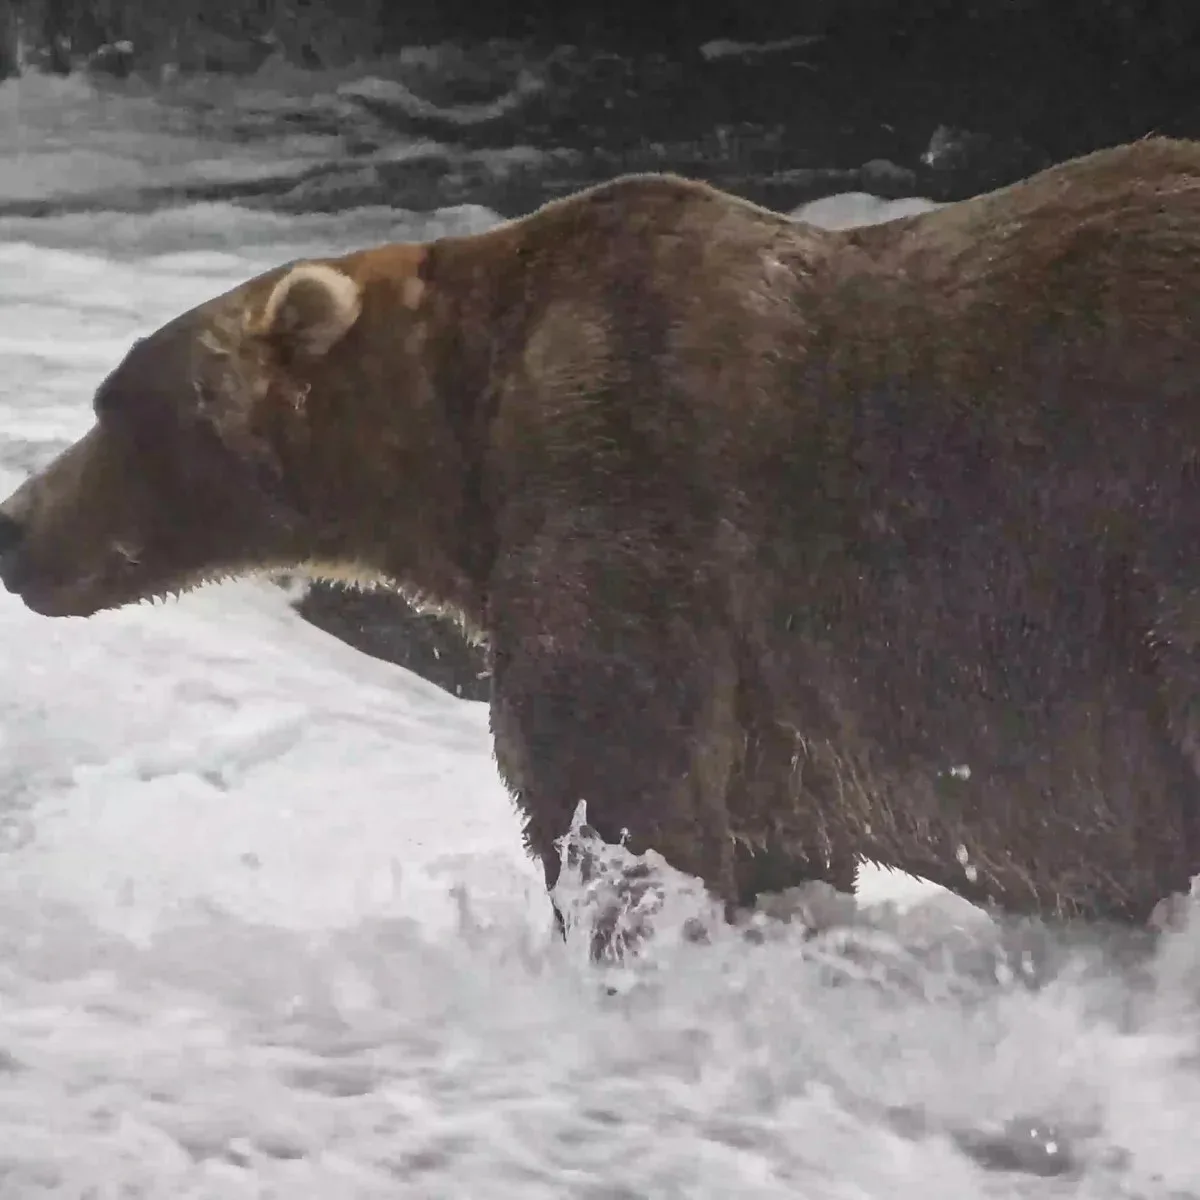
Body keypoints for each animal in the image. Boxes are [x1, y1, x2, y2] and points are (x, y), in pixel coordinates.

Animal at [4, 136, 1200, 948]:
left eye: (118, 406)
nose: (15, 523)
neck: (459, 442)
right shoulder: (775, 704)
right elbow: (773, 838)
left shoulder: (628, 490)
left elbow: (615, 789)